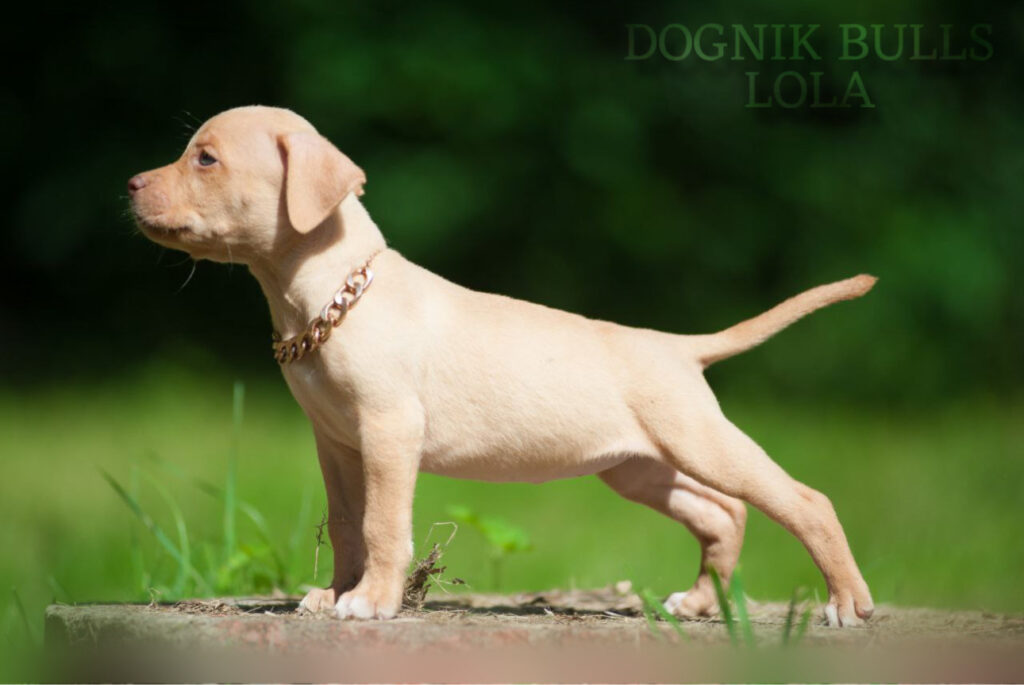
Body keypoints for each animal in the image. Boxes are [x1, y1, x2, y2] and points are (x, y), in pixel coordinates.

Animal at [128, 105, 876, 626]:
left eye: (206, 158)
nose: (131, 183)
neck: (335, 295)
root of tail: (674, 343)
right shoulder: (336, 442)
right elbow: (345, 523)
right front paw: (335, 592)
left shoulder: (389, 431)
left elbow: (382, 524)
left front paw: (370, 601)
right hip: (637, 465)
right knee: (722, 513)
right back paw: (696, 602)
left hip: (698, 440)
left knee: (802, 501)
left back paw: (847, 602)